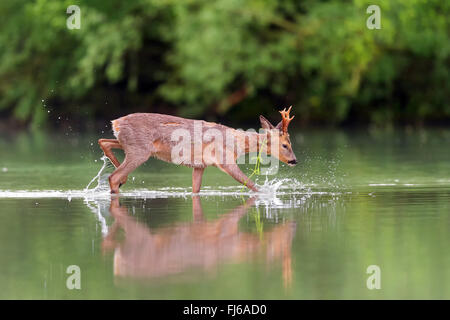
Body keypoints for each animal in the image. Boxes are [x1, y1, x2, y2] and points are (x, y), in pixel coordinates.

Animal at [98, 107, 298, 194]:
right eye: (285, 145)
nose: (294, 160)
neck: (238, 143)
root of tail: (116, 123)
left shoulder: (200, 165)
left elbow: (195, 190)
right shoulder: (225, 160)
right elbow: (250, 184)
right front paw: (268, 192)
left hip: (130, 145)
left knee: (104, 142)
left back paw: (122, 179)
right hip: (140, 150)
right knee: (113, 177)